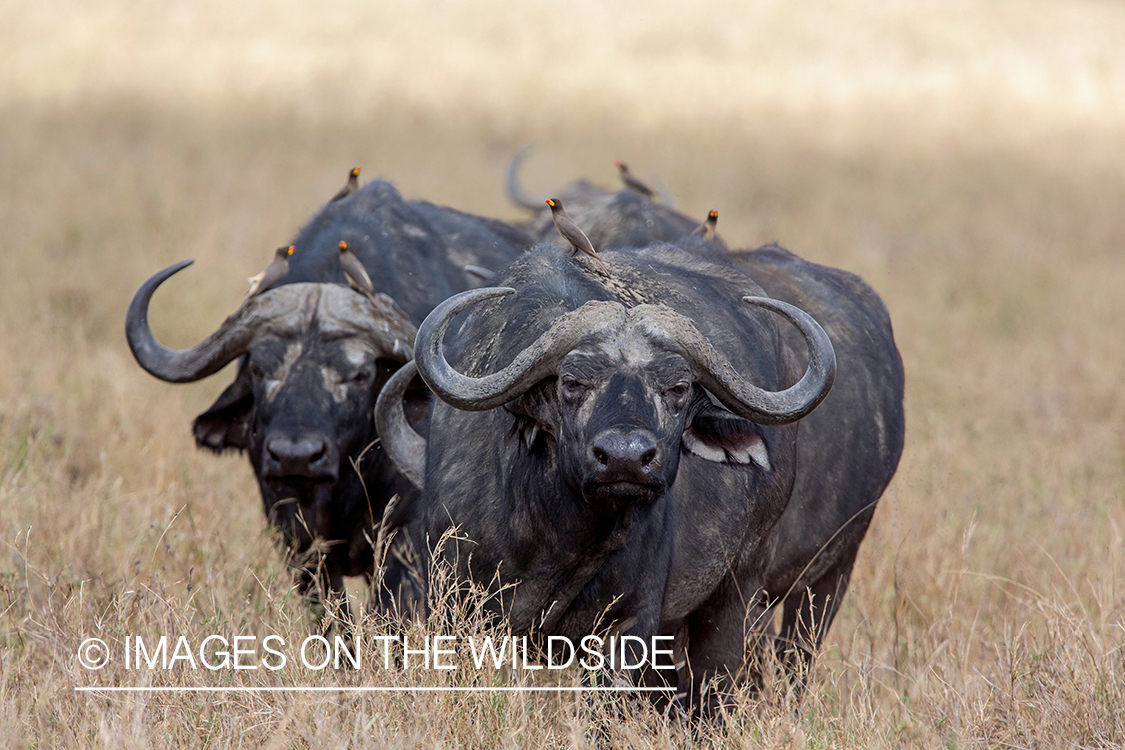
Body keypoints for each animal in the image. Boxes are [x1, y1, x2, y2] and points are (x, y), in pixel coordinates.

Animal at [375, 246, 846, 715]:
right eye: (571, 382)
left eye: (678, 387)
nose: (625, 459)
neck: (553, 535)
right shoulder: (455, 603)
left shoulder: (629, 622)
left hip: (739, 594)